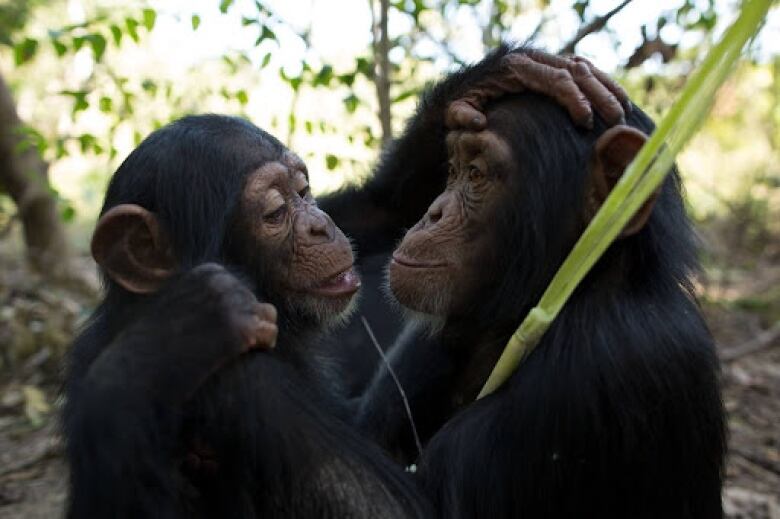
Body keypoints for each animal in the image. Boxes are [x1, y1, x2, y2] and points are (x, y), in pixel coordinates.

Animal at [64, 46, 632, 516]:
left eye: (305, 192)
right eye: (275, 211)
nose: (321, 225)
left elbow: (377, 208)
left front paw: (494, 78)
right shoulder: (238, 380)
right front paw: (175, 336)